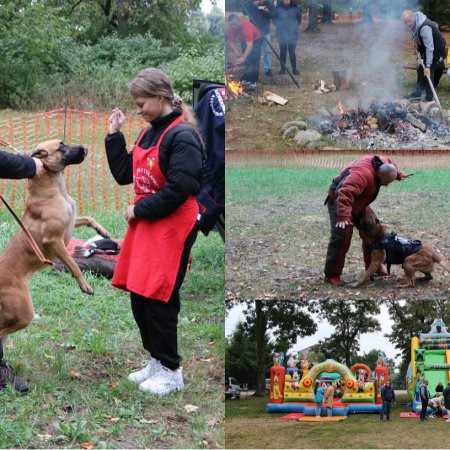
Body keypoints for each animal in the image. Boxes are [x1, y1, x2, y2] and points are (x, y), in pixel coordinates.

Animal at [0, 138, 110, 342]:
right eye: (61, 146)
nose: (84, 148)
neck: (54, 190)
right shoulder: (53, 240)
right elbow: (74, 265)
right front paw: (85, 285)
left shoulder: (70, 223)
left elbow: (88, 218)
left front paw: (103, 232)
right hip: (25, 312)